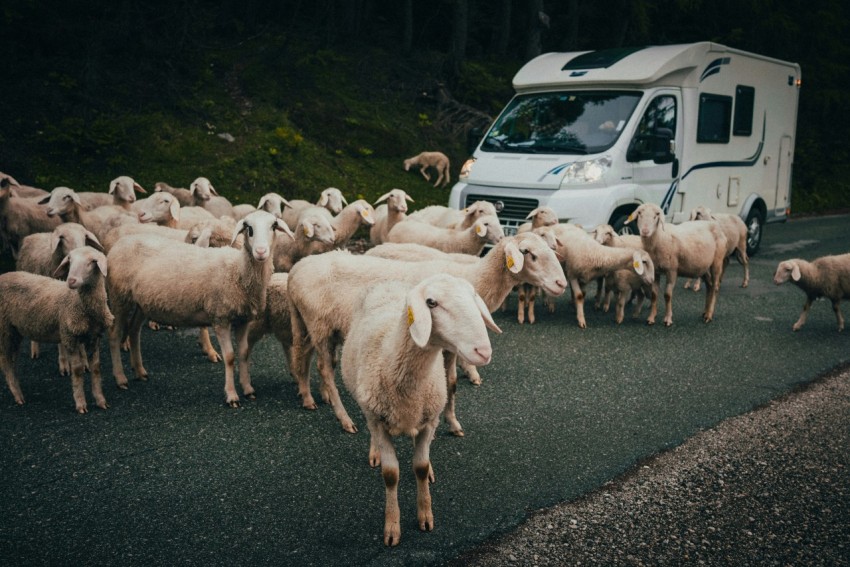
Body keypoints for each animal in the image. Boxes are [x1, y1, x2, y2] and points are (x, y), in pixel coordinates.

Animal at [0, 246, 114, 413]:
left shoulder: (94, 337)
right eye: (70, 261)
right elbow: (77, 370)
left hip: (14, 331)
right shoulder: (69, 336)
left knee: (12, 361)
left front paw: (101, 401)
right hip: (5, 329)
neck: (80, 304)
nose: (71, 281)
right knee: (6, 361)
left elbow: (96, 368)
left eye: (92, 262)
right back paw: (18, 395)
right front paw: (81, 404)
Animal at [105, 210, 293, 406]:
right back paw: (120, 378)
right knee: (114, 335)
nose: (261, 251)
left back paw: (140, 371)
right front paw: (231, 395)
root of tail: (120, 243)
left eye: (273, 226)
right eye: (249, 228)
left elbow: (243, 353)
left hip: (141, 303)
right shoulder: (220, 318)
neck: (237, 270)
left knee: (134, 331)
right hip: (119, 296)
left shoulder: (243, 320)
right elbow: (230, 357)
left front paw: (248, 389)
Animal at [287, 231, 567, 434]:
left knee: (303, 354)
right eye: (528, 253)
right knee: (325, 368)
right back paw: (343, 418)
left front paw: (453, 423)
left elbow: (451, 383)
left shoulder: (453, 345)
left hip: (310, 324)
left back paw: (309, 395)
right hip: (320, 326)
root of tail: (295, 270)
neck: (475, 276)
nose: (561, 284)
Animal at [341, 274, 498, 546]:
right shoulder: (379, 421)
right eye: (431, 302)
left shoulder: (429, 419)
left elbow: (421, 467)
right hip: (367, 405)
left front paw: (425, 515)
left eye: (473, 296)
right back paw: (374, 452)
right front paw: (392, 527)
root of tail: (388, 281)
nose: (483, 352)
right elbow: (391, 474)